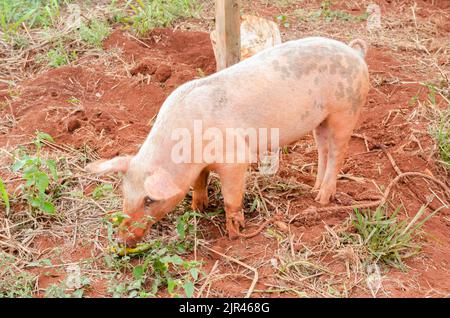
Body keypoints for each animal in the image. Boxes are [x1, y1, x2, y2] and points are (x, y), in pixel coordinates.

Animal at [87, 37, 370, 246]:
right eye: (125, 193)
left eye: (149, 200)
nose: (121, 240)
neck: (188, 149)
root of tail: (355, 52)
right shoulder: (199, 166)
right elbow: (199, 182)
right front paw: (198, 208)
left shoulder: (235, 159)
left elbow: (231, 198)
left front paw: (235, 231)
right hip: (321, 120)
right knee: (323, 148)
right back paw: (313, 189)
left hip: (346, 110)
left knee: (338, 151)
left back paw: (322, 198)